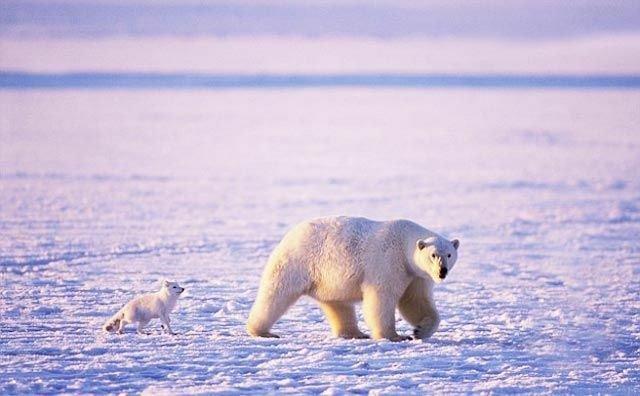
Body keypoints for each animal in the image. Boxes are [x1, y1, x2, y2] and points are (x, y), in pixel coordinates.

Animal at [246, 215, 460, 342]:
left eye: (449, 254)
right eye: (433, 255)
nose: (442, 271)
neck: (403, 241)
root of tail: (291, 233)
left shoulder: (416, 275)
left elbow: (415, 301)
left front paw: (419, 331)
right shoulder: (388, 261)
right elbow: (381, 298)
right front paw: (394, 336)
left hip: (328, 279)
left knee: (338, 304)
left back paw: (355, 333)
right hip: (298, 262)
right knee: (276, 293)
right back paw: (262, 331)